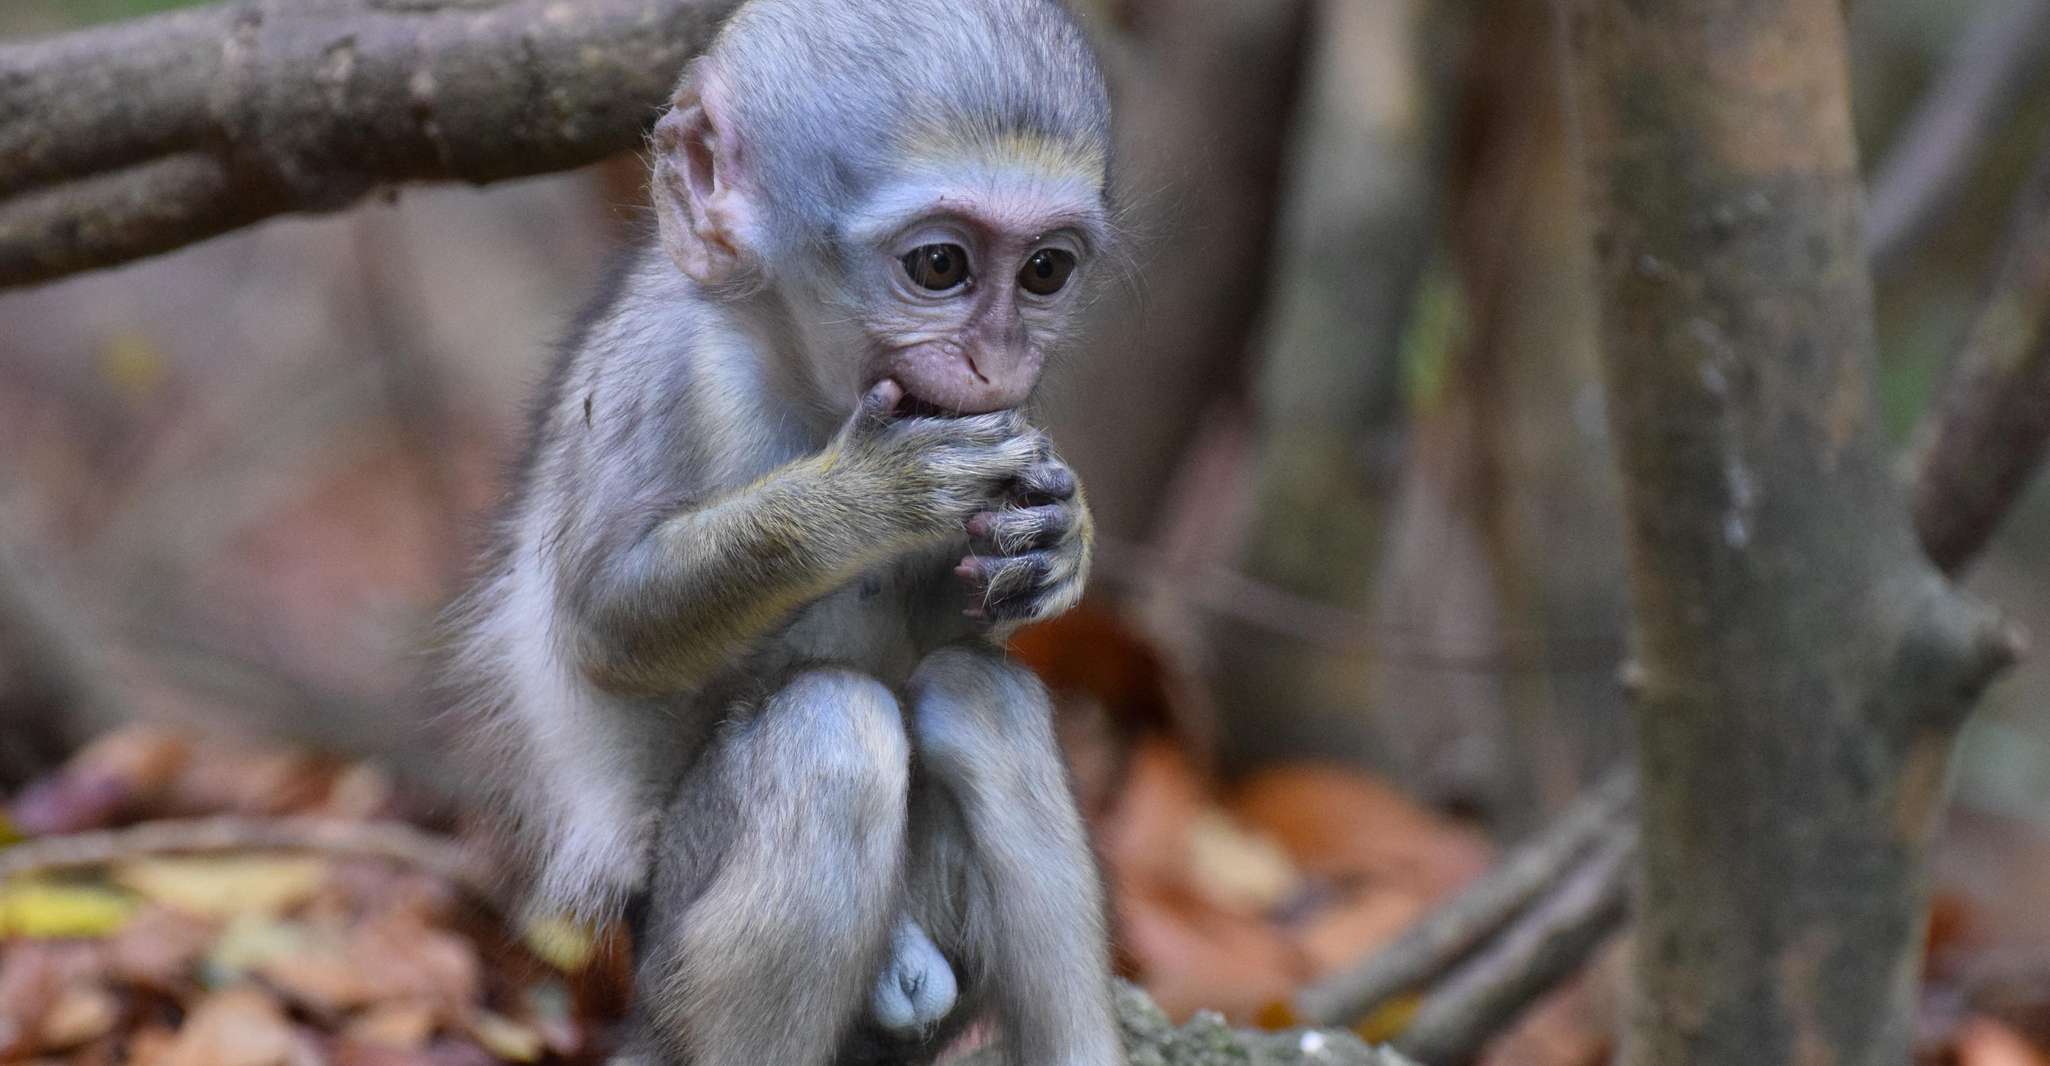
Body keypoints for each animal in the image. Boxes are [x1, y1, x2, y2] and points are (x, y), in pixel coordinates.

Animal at [440, 2, 1131, 1066]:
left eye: (1045, 271)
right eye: (941, 266)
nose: (998, 359)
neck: (801, 379)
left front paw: (1063, 534)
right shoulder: (671, 374)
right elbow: (603, 628)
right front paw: (870, 495)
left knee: (982, 700)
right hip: (672, 949)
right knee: (829, 732)